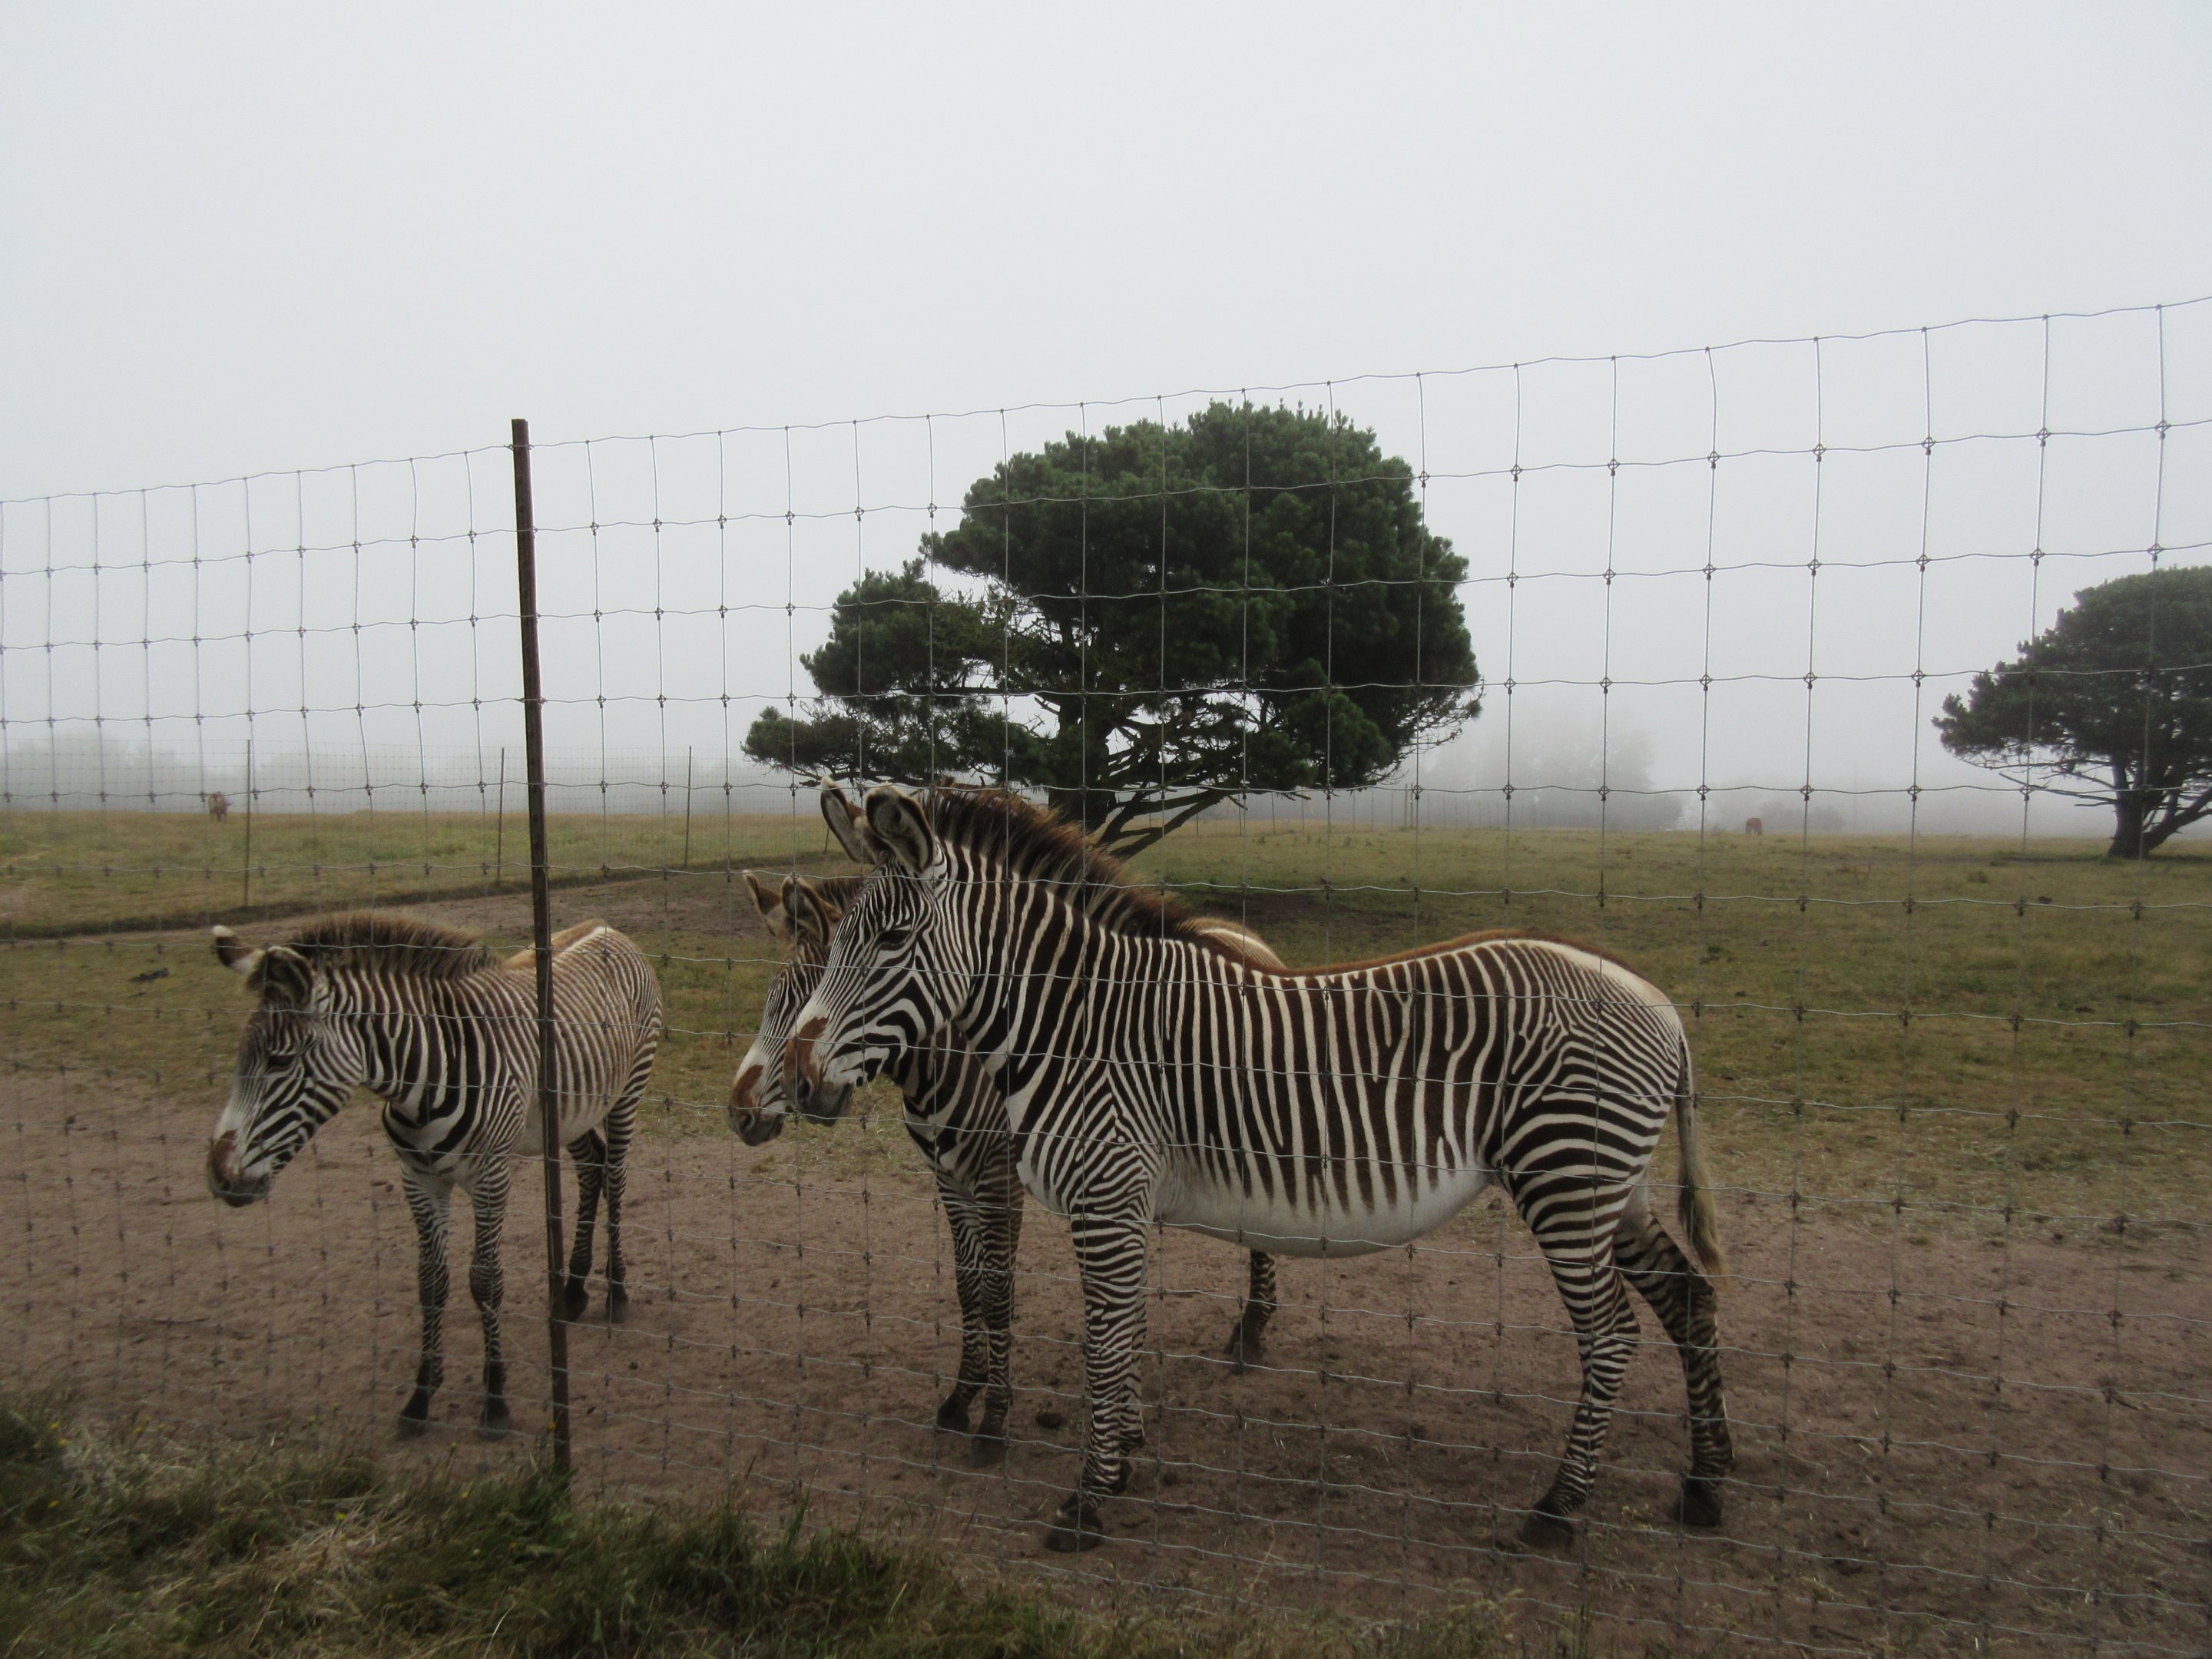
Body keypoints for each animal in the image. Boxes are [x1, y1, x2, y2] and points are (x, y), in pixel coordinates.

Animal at [205, 911, 662, 1438]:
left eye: (281, 1061)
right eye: (241, 1058)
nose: (219, 1176)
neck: (424, 1079)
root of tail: (607, 928)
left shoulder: (491, 1178)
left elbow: (485, 1280)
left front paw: (495, 1400)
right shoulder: (417, 1178)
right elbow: (431, 1282)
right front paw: (421, 1397)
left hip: (628, 1089)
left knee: (616, 1176)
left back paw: (617, 1293)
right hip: (573, 1111)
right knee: (591, 1169)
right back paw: (571, 1292)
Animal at [728, 789, 1286, 1466]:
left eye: (801, 995)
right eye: (773, 999)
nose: (740, 1112)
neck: (952, 1056)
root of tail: (1241, 933)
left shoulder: (998, 1179)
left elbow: (998, 1292)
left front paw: (994, 1419)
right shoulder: (948, 1178)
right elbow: (969, 1288)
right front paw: (960, 1399)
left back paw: (1251, 1333)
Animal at [786, 786, 1731, 1553]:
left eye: (894, 940)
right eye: (832, 950)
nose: (799, 1081)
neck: (1074, 1019)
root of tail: (1659, 1004)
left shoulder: (1106, 1194)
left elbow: (1104, 1339)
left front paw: (1088, 1501)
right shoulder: (1123, 1202)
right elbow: (1122, 1332)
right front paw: (1122, 1459)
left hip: (1567, 1179)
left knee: (1613, 1333)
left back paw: (1558, 1510)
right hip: (1615, 1187)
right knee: (1689, 1297)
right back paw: (1706, 1486)